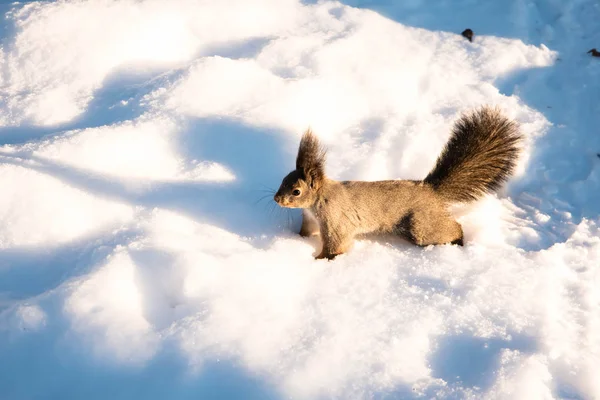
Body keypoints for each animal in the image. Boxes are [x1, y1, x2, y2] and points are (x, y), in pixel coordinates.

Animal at [274, 106, 524, 260]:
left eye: (296, 191)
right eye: (283, 180)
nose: (276, 199)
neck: (317, 201)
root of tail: (431, 190)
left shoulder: (335, 220)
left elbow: (338, 244)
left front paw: (322, 259)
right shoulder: (310, 219)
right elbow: (306, 233)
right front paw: (294, 240)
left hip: (422, 224)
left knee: (452, 228)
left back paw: (458, 241)